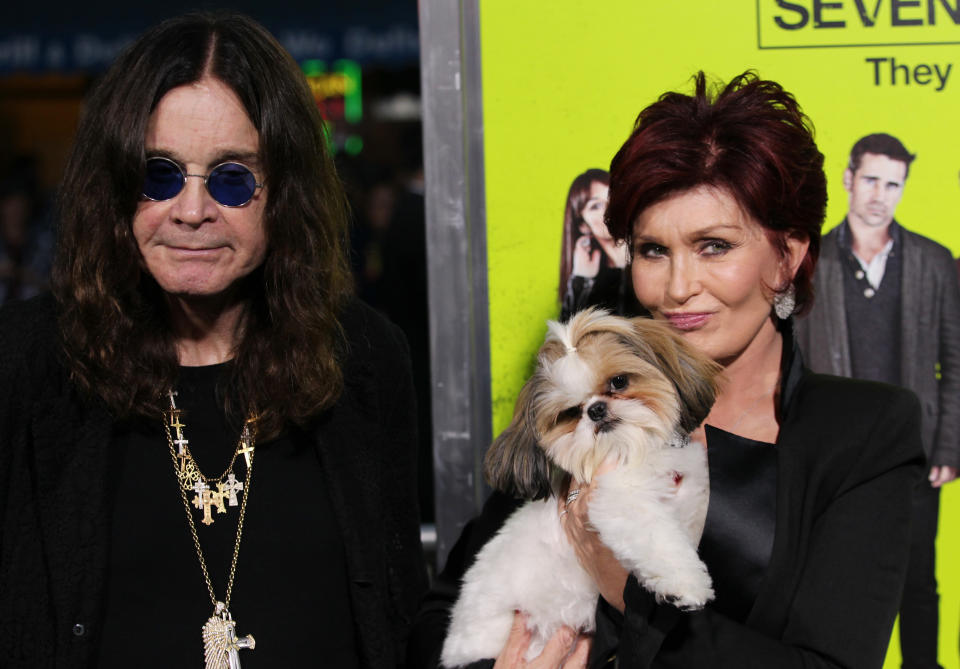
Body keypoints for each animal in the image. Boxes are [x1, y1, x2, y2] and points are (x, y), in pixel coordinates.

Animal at [442, 310, 720, 664]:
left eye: (619, 381)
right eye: (571, 412)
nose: (596, 409)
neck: (634, 451)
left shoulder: (691, 493)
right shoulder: (617, 502)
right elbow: (659, 541)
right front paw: (684, 584)